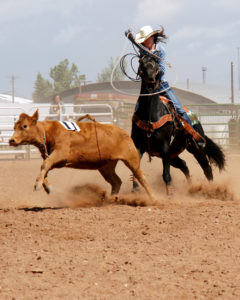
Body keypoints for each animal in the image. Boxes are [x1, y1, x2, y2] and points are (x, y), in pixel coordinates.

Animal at [9, 109, 153, 198]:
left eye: (25, 126)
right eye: (14, 127)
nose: (12, 140)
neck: (48, 132)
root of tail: (125, 133)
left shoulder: (61, 153)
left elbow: (45, 165)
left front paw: (38, 185)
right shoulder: (52, 157)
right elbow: (45, 168)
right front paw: (47, 186)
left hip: (131, 159)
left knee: (141, 177)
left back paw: (153, 198)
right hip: (106, 166)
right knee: (116, 181)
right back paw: (112, 199)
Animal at [130, 54, 226, 196]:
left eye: (156, 63)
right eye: (141, 62)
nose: (151, 80)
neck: (150, 116)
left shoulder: (164, 147)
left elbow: (166, 174)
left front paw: (170, 194)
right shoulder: (139, 146)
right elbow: (135, 169)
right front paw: (135, 189)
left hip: (195, 148)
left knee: (206, 168)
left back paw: (212, 189)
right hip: (173, 153)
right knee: (184, 165)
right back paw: (191, 187)